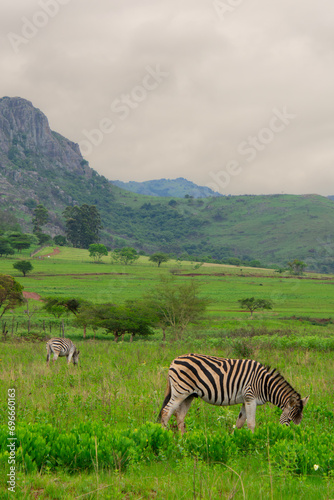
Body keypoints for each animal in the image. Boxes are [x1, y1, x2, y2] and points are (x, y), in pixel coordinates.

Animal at [158, 352, 310, 434]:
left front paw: (235, 439)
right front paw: (253, 442)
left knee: (180, 415)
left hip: (189, 395)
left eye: (300, 420)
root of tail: (174, 360)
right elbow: (251, 423)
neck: (265, 384)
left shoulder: (245, 400)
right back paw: (166, 437)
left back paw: (184, 438)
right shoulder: (251, 398)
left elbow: (240, 422)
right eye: (289, 419)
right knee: (166, 412)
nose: (292, 436)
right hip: (180, 392)